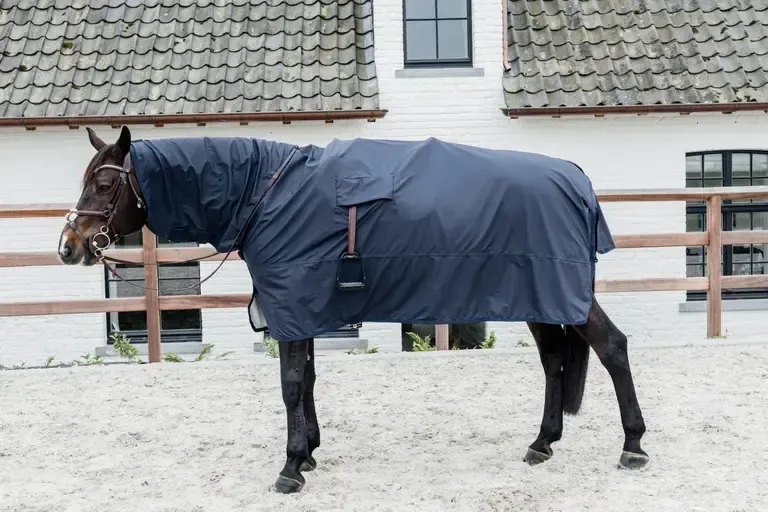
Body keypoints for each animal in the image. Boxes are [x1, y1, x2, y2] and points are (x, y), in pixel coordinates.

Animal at [57, 126, 648, 494]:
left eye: (104, 183)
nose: (68, 246)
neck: (265, 194)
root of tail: (575, 177)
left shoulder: (292, 305)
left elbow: (291, 384)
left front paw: (291, 466)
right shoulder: (302, 308)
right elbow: (308, 380)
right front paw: (310, 452)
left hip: (559, 293)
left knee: (612, 348)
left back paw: (633, 446)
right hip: (541, 298)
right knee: (554, 361)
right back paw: (542, 443)